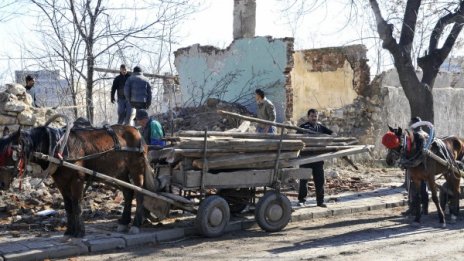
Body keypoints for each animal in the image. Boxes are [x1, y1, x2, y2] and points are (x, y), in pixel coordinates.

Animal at [0, 124, 160, 238]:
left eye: (10, 153)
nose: (2, 183)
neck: (59, 147)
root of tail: (136, 131)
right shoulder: (61, 182)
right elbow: (68, 207)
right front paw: (69, 231)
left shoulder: (77, 180)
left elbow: (77, 206)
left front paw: (79, 232)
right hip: (120, 172)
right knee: (128, 193)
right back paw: (124, 222)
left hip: (137, 169)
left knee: (139, 194)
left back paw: (136, 224)